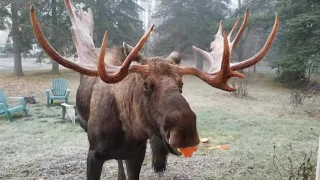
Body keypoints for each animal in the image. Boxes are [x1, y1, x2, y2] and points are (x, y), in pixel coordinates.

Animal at [30, 0, 278, 179]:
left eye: (181, 85)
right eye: (146, 85)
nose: (186, 131)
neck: (128, 132)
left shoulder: (137, 154)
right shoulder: (93, 154)